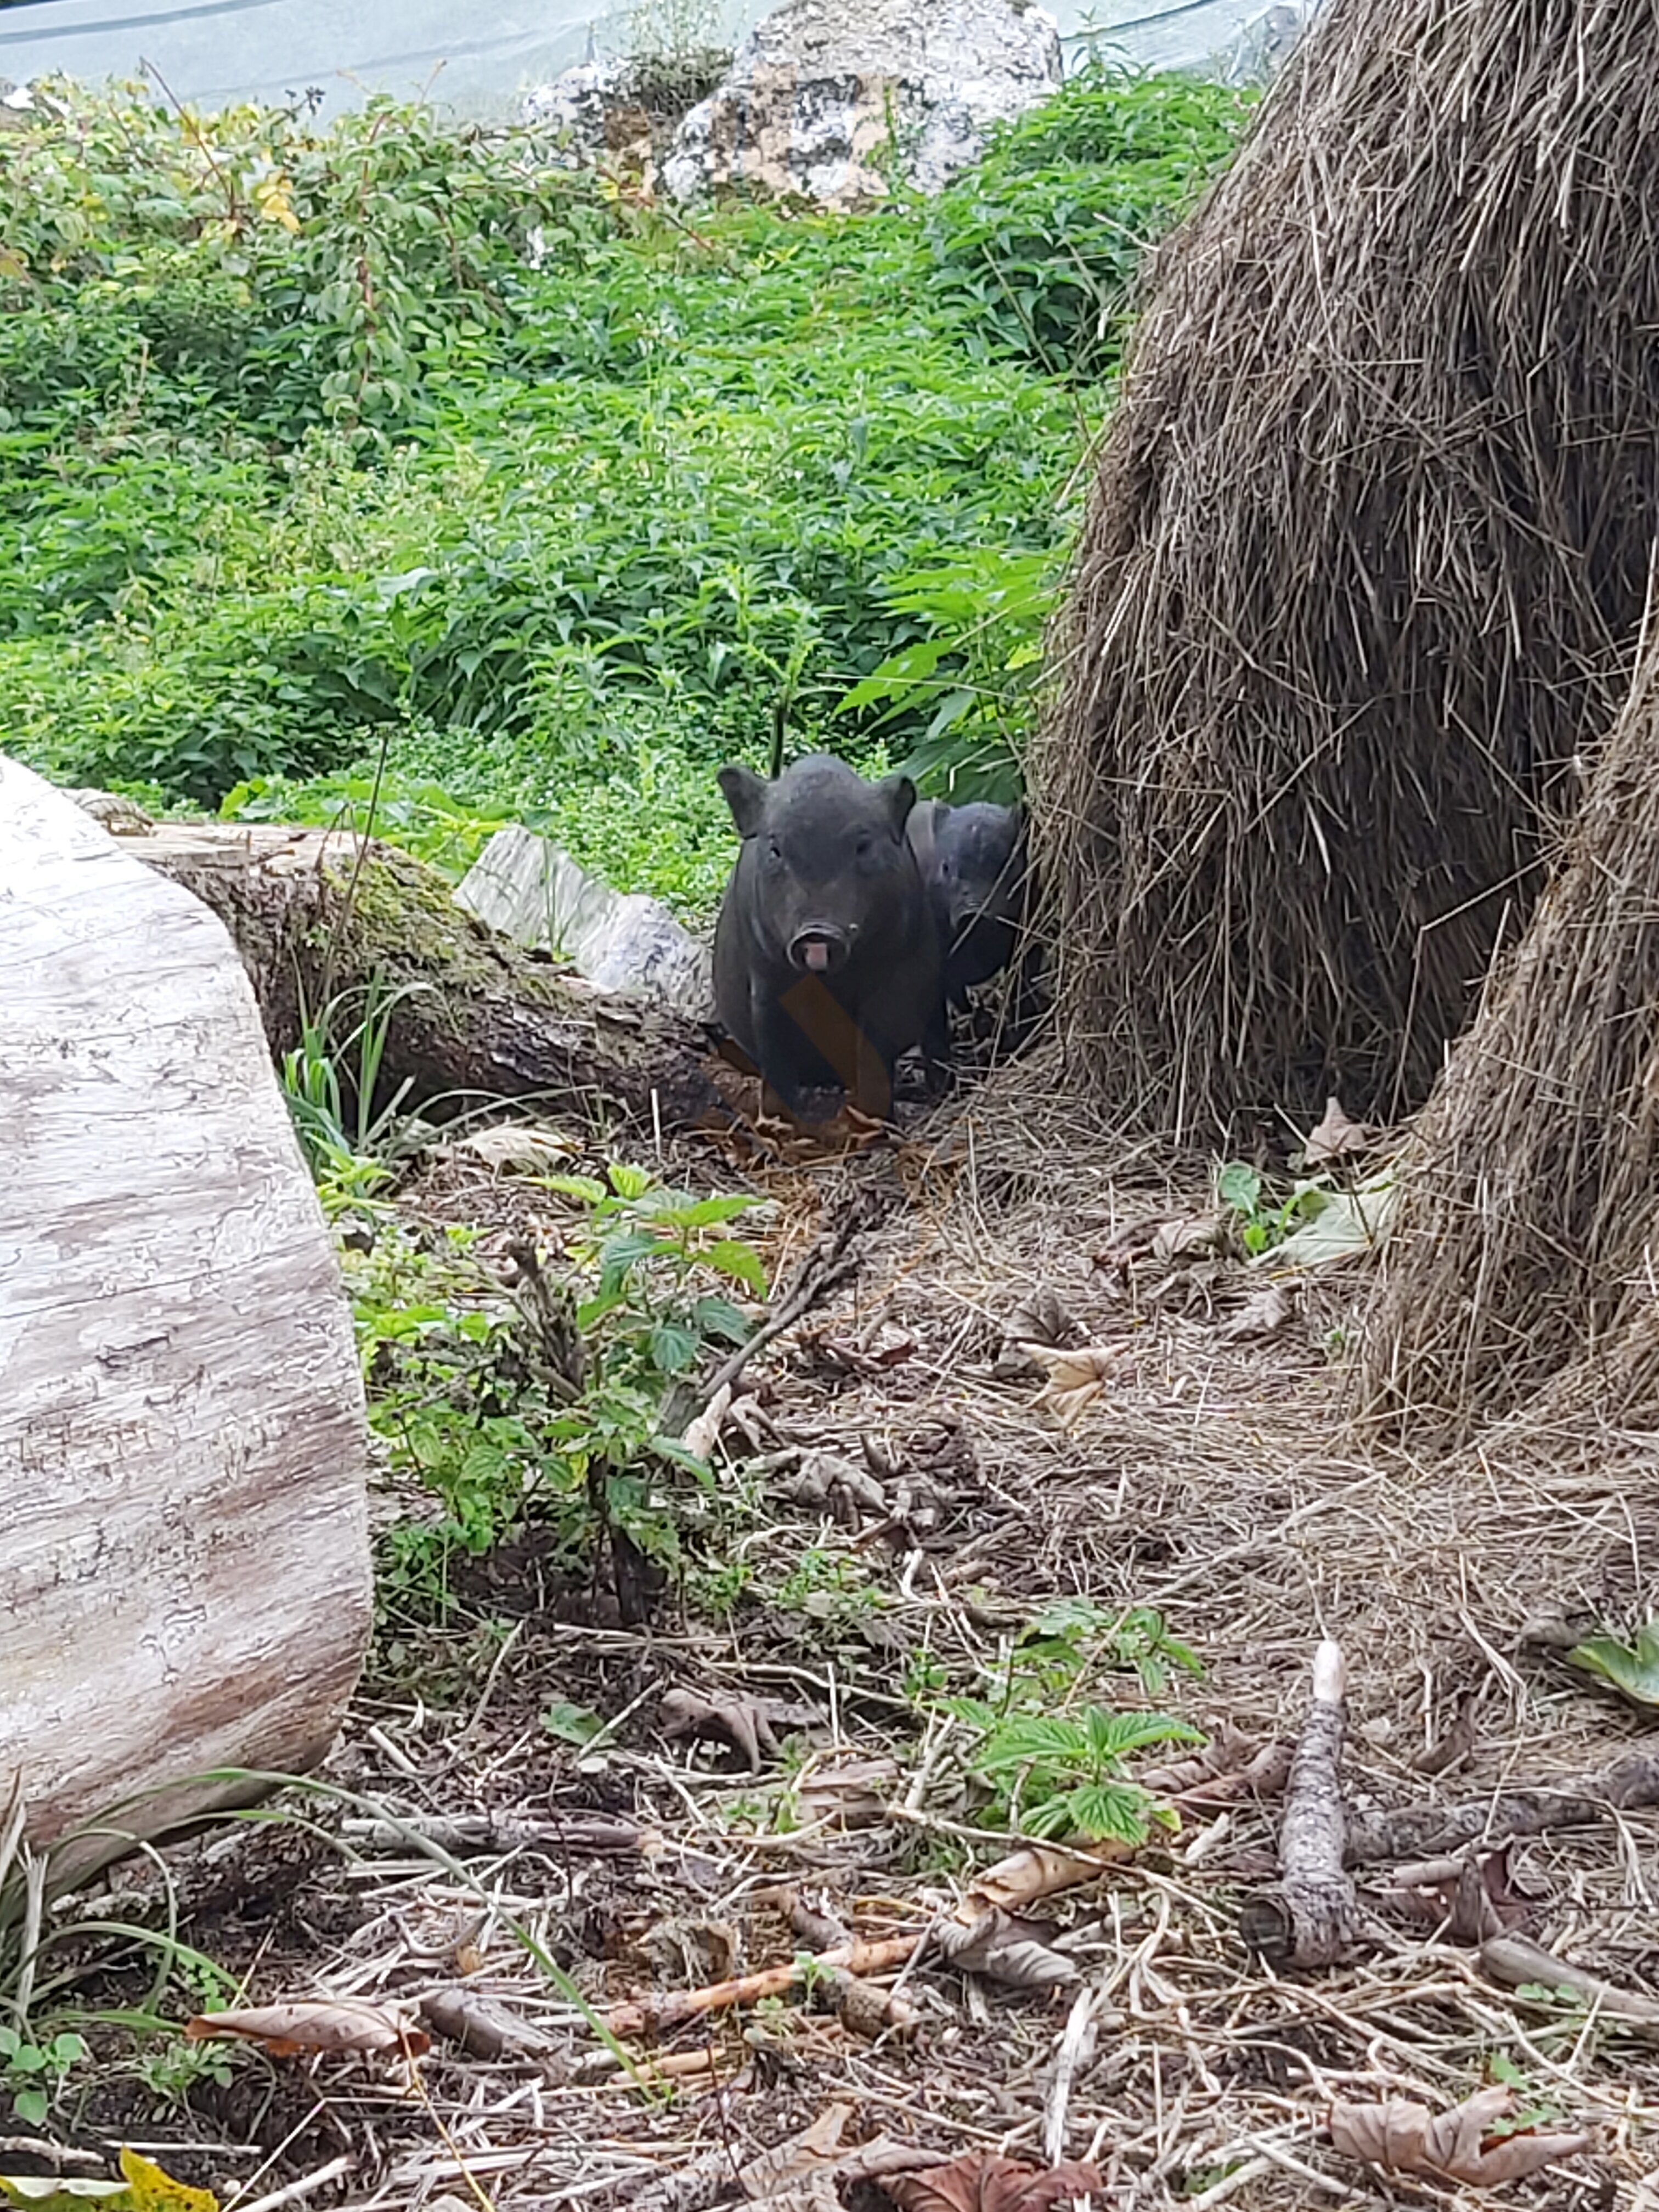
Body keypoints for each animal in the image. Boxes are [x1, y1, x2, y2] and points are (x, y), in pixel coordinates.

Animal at [716, 756, 946, 1124]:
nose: (817, 931)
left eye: (863, 847)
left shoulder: (892, 974)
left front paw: (877, 1122)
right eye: (776, 850)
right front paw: (778, 1123)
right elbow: (775, 1052)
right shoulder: (764, 977)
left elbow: (875, 1043)